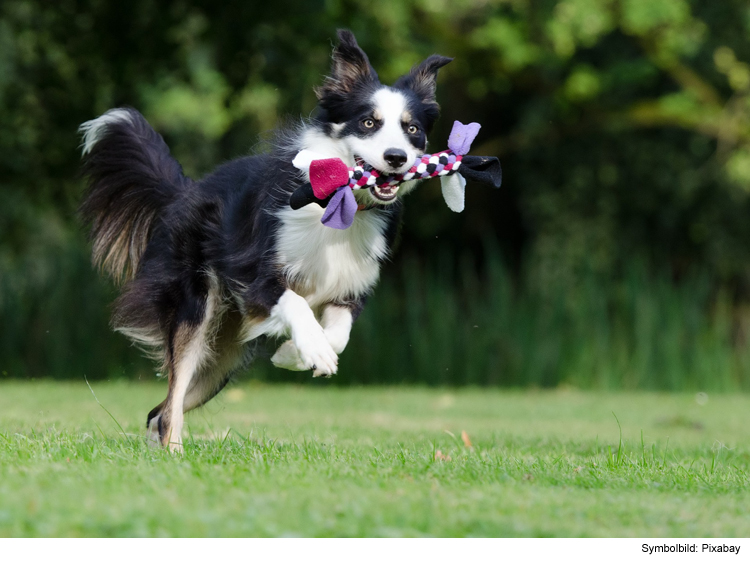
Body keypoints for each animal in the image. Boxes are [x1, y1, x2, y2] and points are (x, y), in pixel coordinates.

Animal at [78, 31, 452, 450]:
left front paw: (296, 354)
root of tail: (184, 191)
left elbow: (339, 334)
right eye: (369, 122)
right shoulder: (254, 275)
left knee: (158, 411)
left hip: (221, 357)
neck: (340, 204)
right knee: (171, 401)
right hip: (197, 309)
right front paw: (312, 350)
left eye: (412, 129)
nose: (396, 157)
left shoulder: (350, 286)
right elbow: (296, 304)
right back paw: (174, 453)